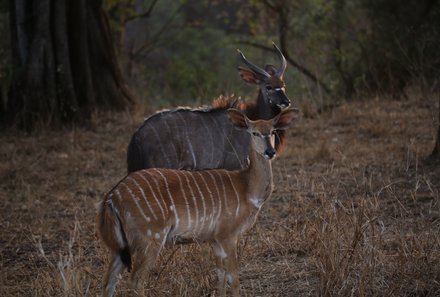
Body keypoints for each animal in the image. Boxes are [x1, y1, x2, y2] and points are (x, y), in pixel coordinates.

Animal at [97, 107, 300, 294]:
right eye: (254, 132)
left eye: (272, 131)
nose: (270, 151)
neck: (246, 188)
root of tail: (112, 198)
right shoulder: (228, 235)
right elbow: (234, 278)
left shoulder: (215, 239)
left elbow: (220, 276)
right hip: (150, 238)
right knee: (136, 280)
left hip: (119, 246)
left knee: (109, 281)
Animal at [126, 41, 292, 171]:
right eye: (269, 86)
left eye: (283, 84)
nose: (286, 101)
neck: (253, 117)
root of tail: (137, 135)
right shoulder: (234, 165)